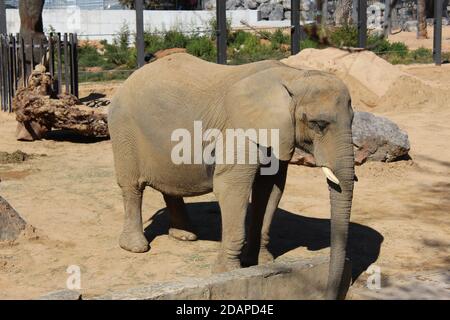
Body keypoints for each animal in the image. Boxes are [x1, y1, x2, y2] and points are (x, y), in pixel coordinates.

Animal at [109, 53, 356, 300]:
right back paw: (136, 247)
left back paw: (185, 236)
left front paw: (260, 262)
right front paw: (226, 271)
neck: (293, 75)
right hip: (123, 129)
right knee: (132, 187)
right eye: (319, 124)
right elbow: (232, 187)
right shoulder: (239, 130)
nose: (332, 293)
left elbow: (271, 188)